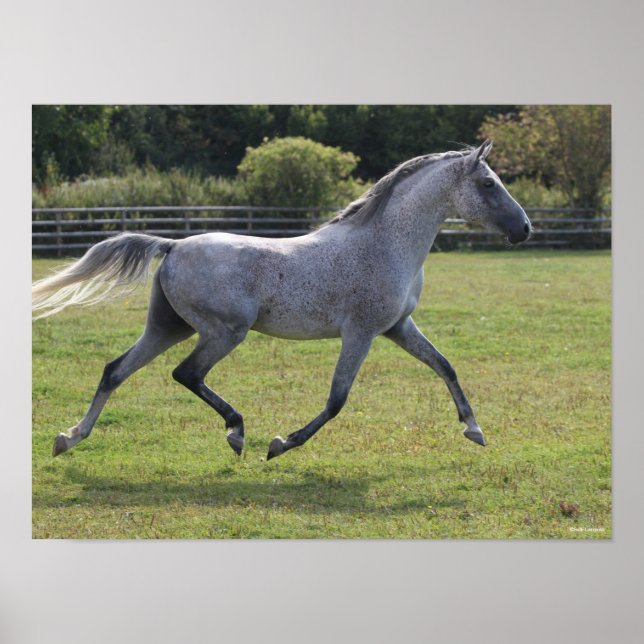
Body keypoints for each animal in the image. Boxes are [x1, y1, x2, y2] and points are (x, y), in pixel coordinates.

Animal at [32, 140, 531, 461]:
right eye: (489, 184)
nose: (524, 229)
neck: (386, 244)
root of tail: (172, 246)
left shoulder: (397, 327)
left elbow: (445, 366)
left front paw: (474, 430)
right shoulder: (362, 332)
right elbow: (337, 399)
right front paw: (280, 445)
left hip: (169, 326)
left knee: (115, 370)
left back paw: (69, 438)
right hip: (223, 332)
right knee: (186, 373)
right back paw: (237, 432)